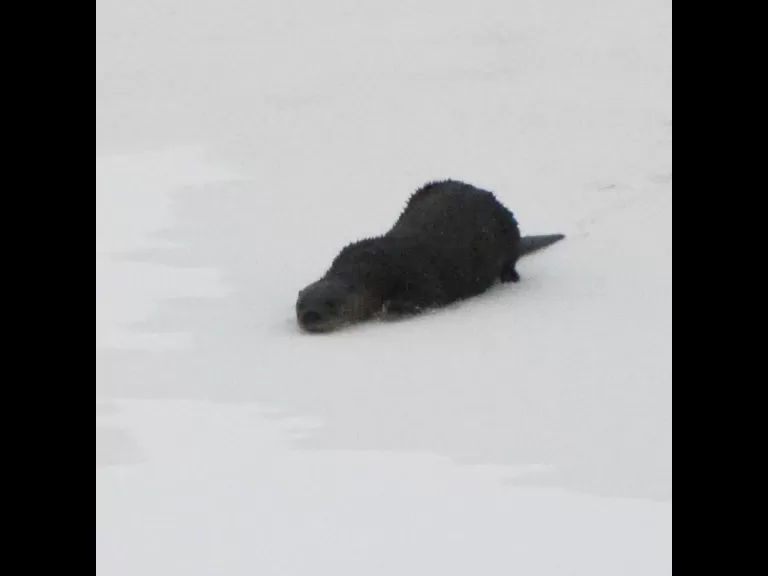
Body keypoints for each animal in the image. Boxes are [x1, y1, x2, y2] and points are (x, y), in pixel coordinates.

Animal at [296, 180, 564, 333]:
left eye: (332, 303)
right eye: (299, 305)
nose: (310, 315)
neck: (374, 267)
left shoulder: (420, 276)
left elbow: (427, 296)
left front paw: (391, 309)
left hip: (508, 229)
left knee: (511, 259)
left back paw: (510, 276)